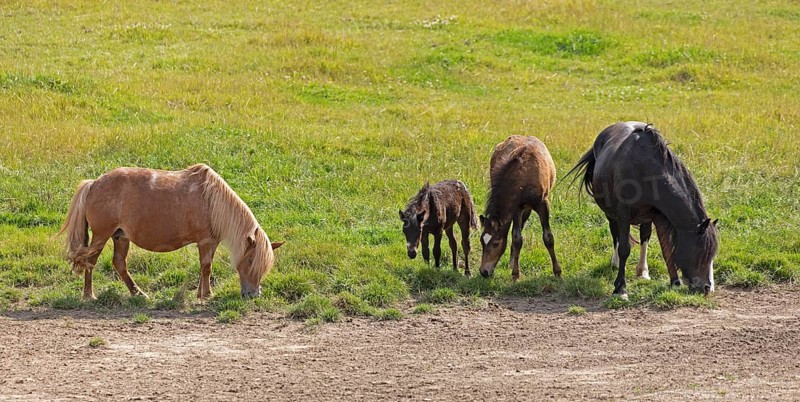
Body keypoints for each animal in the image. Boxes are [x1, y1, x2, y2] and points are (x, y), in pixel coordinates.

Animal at [60, 164, 284, 300]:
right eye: (250, 260)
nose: (253, 294)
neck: (211, 201)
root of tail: (94, 184)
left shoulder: (211, 242)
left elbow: (205, 268)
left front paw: (201, 294)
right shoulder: (205, 241)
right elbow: (206, 267)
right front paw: (207, 295)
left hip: (120, 237)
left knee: (119, 263)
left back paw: (138, 293)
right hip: (101, 236)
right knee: (90, 261)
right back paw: (89, 295)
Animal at [479, 136, 561, 280]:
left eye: (496, 243)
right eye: (481, 241)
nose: (483, 271)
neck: (525, 177)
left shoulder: (542, 204)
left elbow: (548, 237)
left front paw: (557, 271)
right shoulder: (517, 208)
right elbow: (517, 238)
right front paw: (515, 274)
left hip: (528, 209)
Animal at [568, 122, 718, 298]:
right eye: (701, 252)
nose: (707, 288)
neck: (645, 170)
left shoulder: (657, 214)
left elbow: (666, 247)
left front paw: (674, 282)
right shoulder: (623, 214)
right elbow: (624, 248)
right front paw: (620, 288)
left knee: (644, 237)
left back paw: (643, 271)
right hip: (610, 212)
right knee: (615, 232)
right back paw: (615, 262)